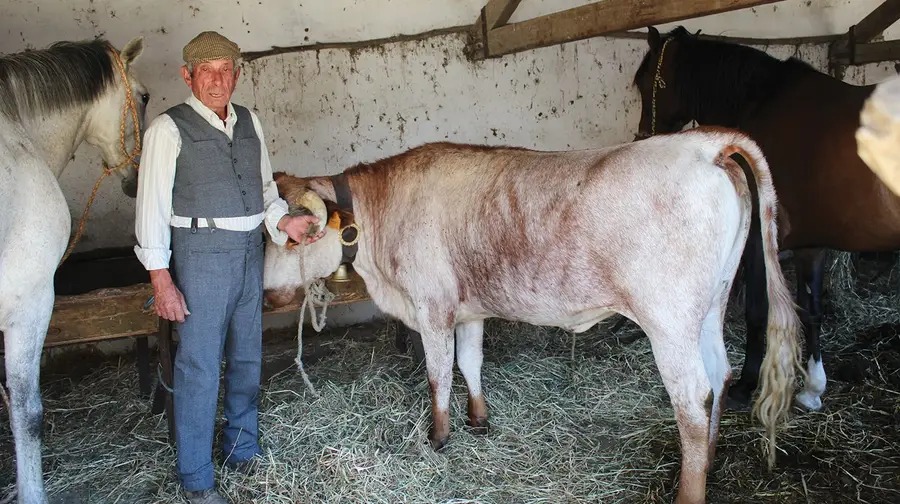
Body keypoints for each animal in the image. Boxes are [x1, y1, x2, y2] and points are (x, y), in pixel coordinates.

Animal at [628, 25, 900, 414]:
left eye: (644, 80)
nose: (644, 137)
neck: (760, 101)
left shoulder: (758, 240)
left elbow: (758, 312)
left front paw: (744, 386)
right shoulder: (810, 246)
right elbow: (811, 310)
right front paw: (813, 388)